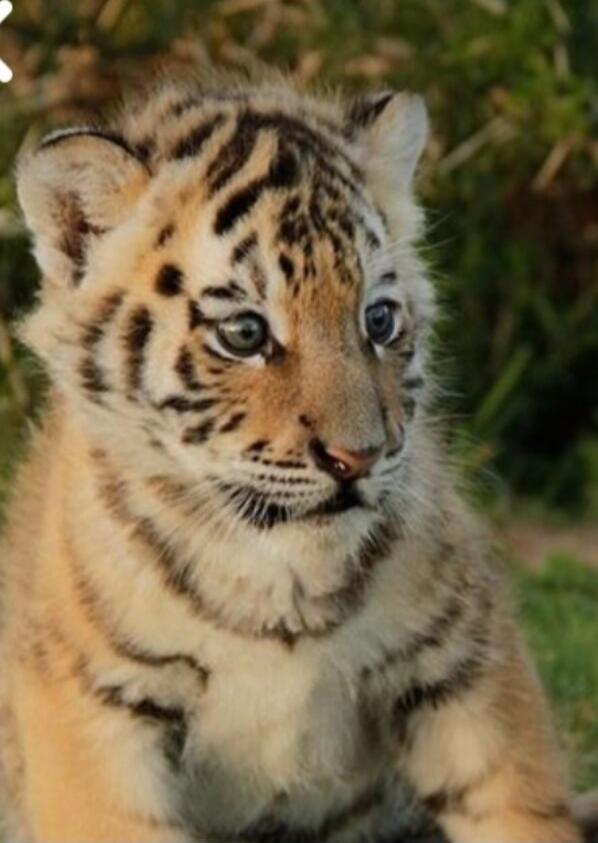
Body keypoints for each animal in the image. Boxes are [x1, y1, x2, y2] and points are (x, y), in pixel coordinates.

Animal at [0, 70, 592, 843]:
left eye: (379, 320)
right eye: (246, 333)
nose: (358, 458)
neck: (278, 583)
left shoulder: (466, 659)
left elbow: (519, 807)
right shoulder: (96, 704)